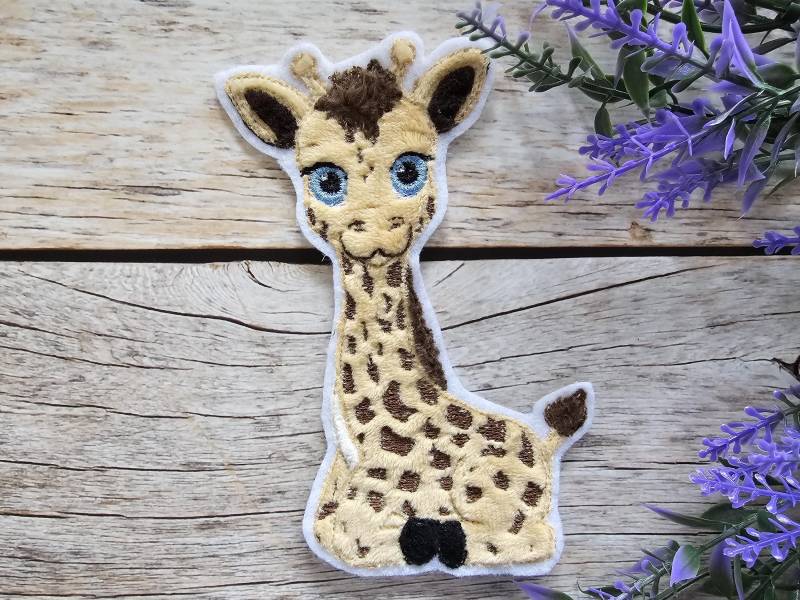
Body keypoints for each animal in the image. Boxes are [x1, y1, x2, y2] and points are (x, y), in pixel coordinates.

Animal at [216, 34, 594, 576]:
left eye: (410, 170)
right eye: (326, 179)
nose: (375, 234)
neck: (359, 446)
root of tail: (545, 441)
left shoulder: (370, 524)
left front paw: (430, 539)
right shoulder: (334, 517)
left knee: (529, 538)